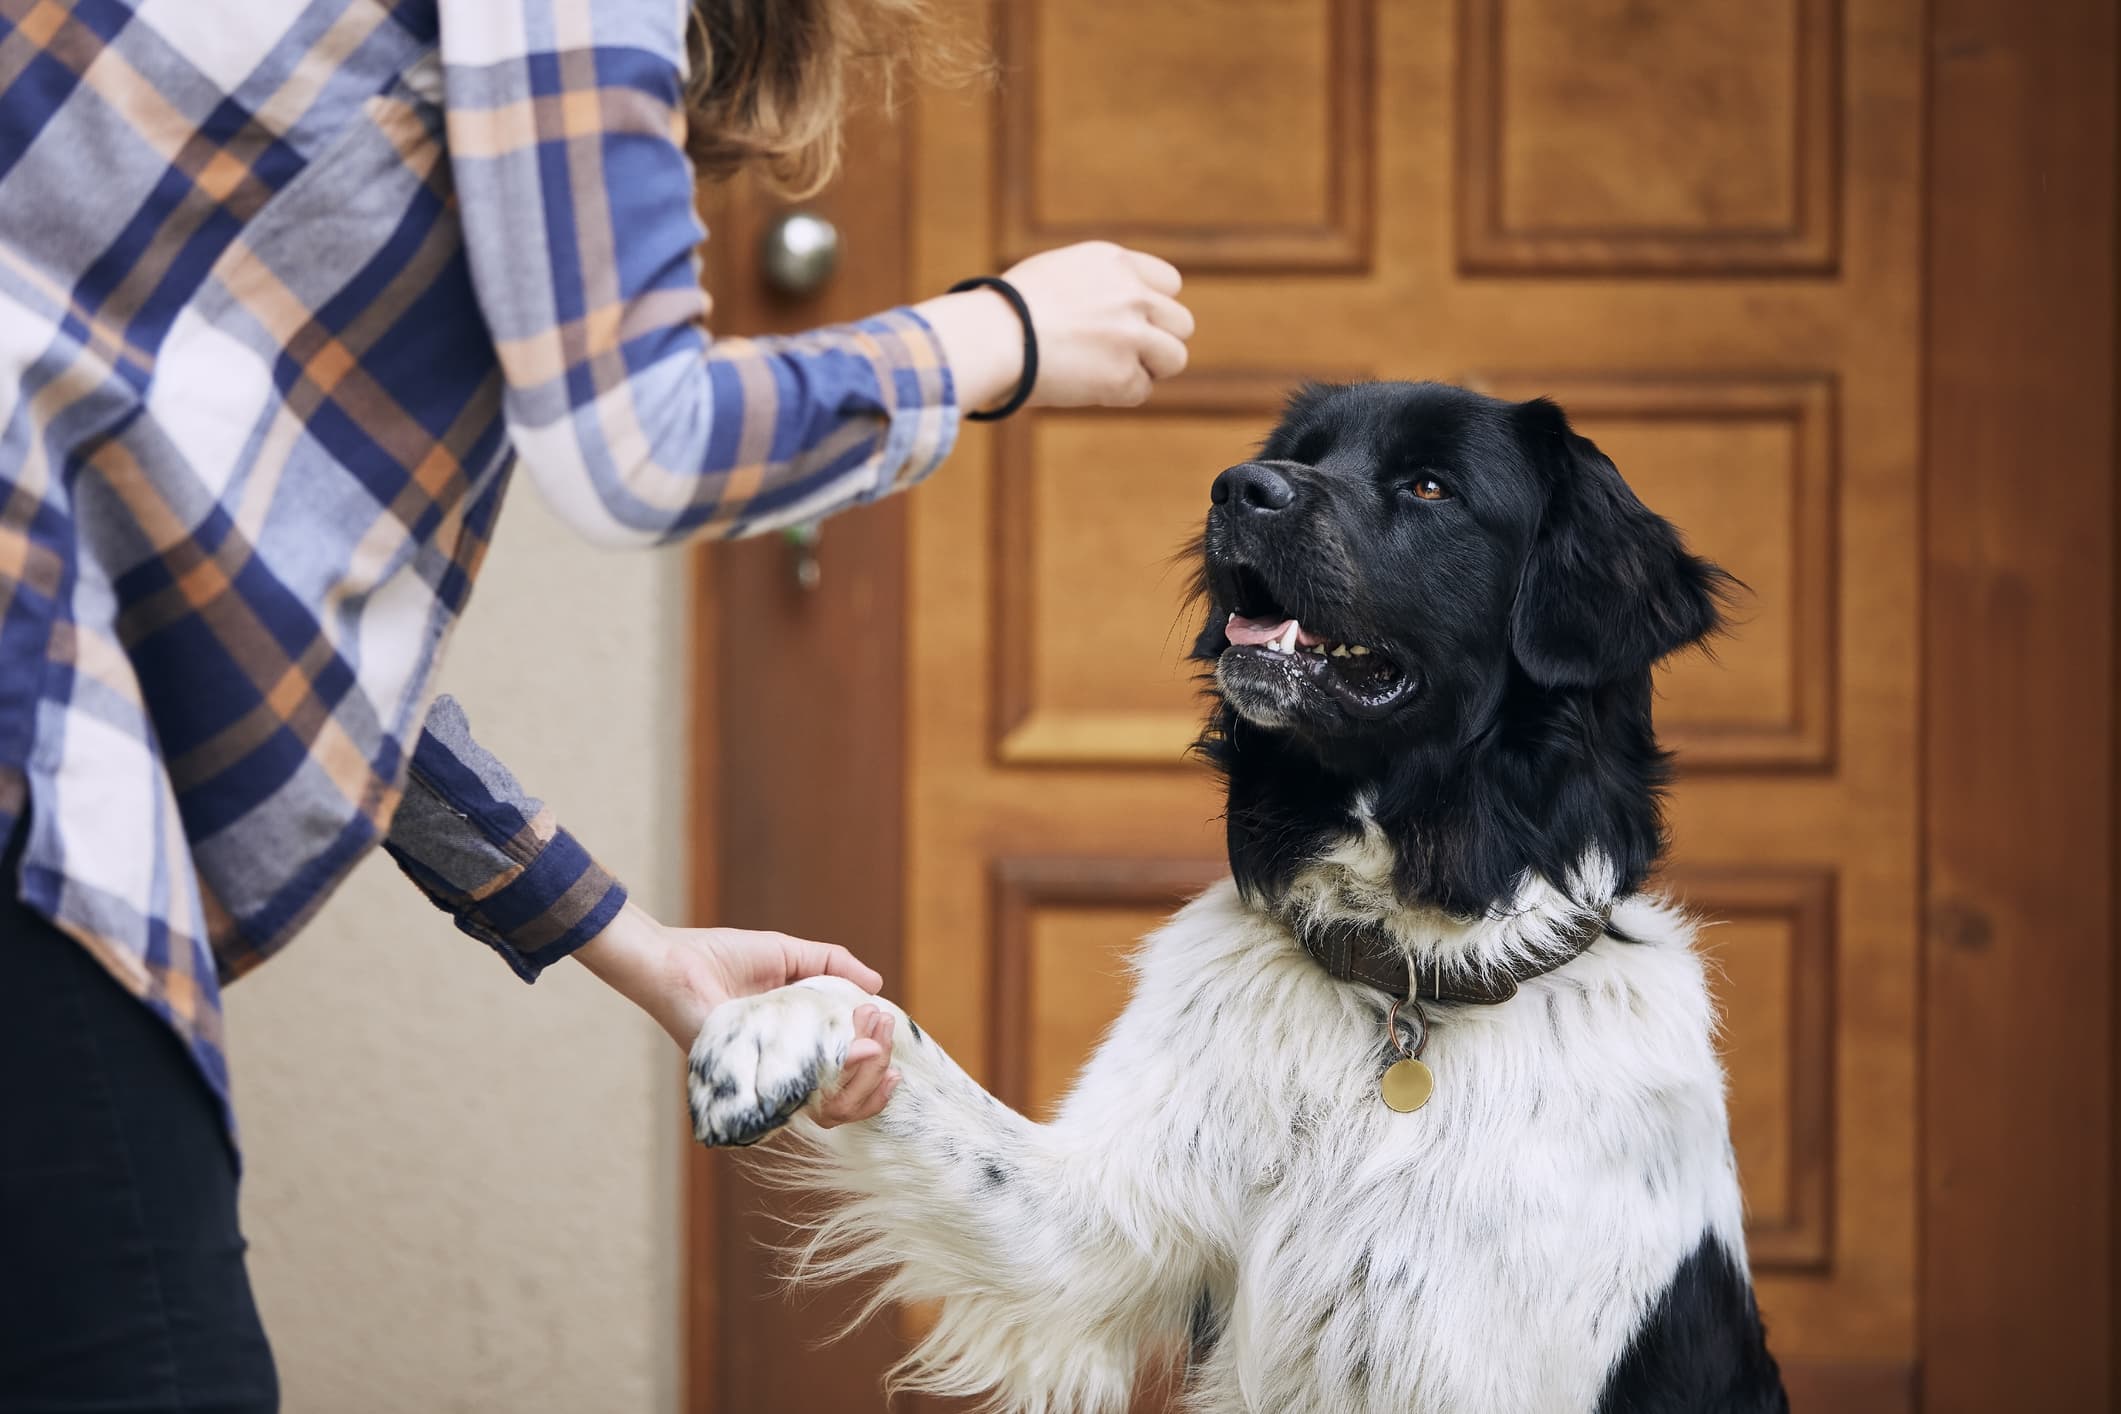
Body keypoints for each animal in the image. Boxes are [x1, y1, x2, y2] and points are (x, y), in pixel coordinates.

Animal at [695, 379, 1790, 1414]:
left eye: (1429, 487)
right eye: (1299, 454)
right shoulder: (1088, 1231)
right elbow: (903, 1045)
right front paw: (766, 1027)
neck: (1402, 978)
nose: (1235, 489)